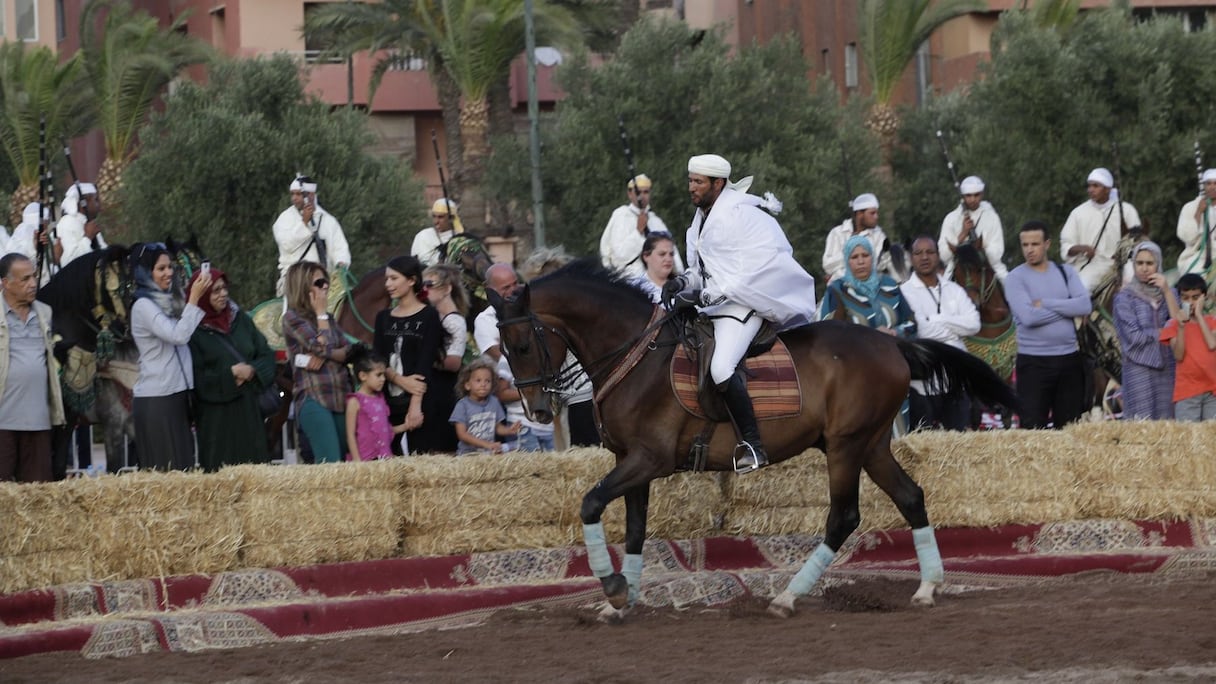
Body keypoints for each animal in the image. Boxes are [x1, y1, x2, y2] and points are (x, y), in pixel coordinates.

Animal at [493, 259, 1016, 618]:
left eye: (521, 344)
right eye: (502, 347)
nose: (537, 411)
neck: (636, 355)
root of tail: (892, 342)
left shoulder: (648, 459)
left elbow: (589, 504)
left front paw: (613, 587)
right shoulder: (631, 460)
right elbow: (636, 530)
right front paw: (621, 599)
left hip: (846, 446)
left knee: (843, 517)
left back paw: (787, 597)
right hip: (870, 445)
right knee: (911, 497)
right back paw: (927, 586)